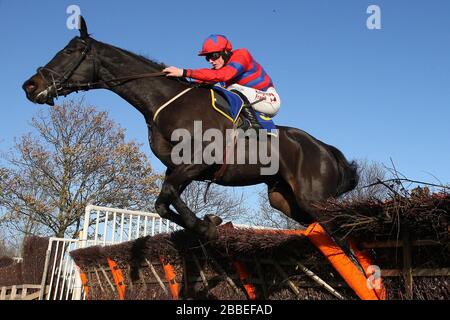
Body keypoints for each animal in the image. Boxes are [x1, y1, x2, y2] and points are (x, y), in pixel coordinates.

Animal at [22, 16, 358, 242]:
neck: (166, 102)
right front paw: (212, 222)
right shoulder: (178, 167)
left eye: (70, 51)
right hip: (287, 201)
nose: (30, 85)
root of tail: (326, 149)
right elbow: (162, 203)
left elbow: (169, 195)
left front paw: (208, 224)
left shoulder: (199, 161)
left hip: (314, 199)